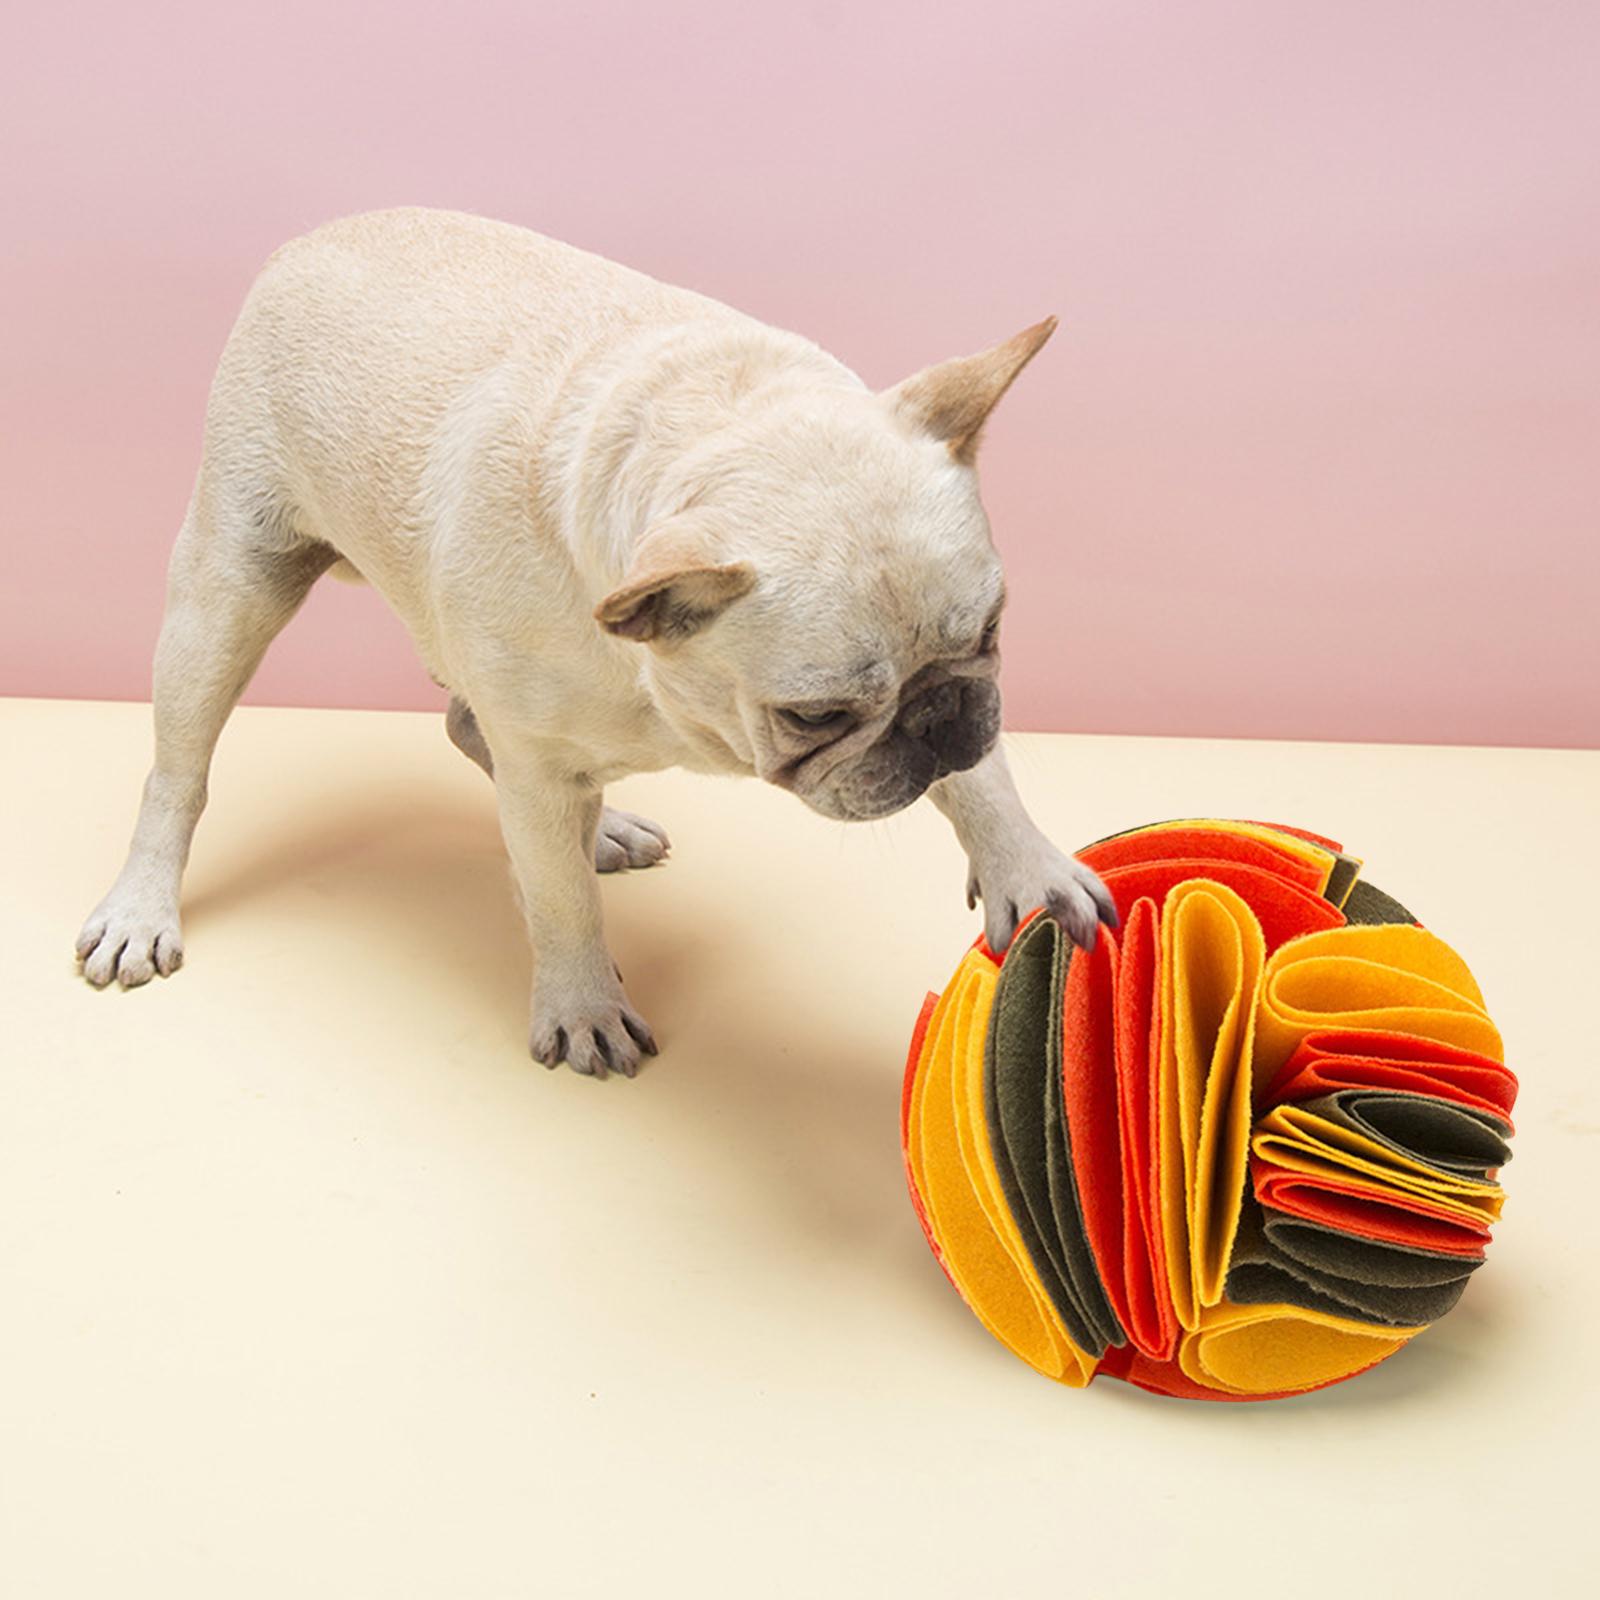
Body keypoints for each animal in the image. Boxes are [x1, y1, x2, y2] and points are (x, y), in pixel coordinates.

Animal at [75, 208, 1116, 1077]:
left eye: (992, 627)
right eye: (813, 715)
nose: (936, 716)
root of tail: (313, 239)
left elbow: (982, 779)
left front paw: (1029, 868)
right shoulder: (537, 764)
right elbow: (560, 898)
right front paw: (581, 1004)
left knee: (480, 738)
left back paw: (605, 825)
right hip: (227, 593)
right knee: (182, 772)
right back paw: (141, 905)